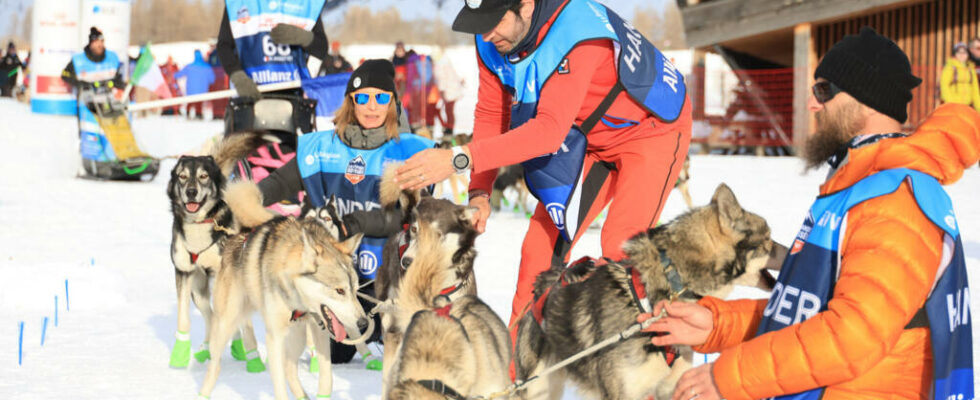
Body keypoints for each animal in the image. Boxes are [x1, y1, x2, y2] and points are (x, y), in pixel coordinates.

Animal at [516, 184, 784, 400]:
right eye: (768, 238)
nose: (788, 248)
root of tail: (545, 282)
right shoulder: (624, 393)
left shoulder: (671, 388)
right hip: (537, 387)